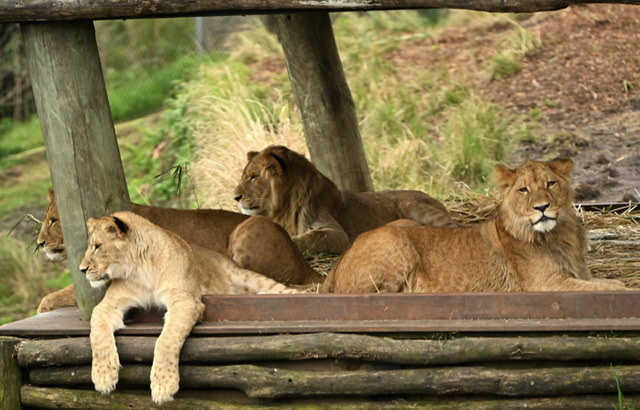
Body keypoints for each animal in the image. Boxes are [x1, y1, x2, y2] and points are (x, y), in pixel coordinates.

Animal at [37, 190, 322, 313]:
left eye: (53, 220)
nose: (39, 243)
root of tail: (306, 264)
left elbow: (60, 294)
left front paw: (42, 308)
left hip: (249, 227)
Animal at [83, 211, 297, 404]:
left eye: (97, 247)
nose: (81, 269)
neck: (140, 270)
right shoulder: (108, 305)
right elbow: (97, 332)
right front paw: (103, 376)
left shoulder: (185, 300)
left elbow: (166, 339)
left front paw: (163, 385)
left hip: (248, 277)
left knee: (285, 289)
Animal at [233, 145, 456, 254]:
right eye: (245, 175)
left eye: (253, 177)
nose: (235, 197)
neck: (285, 206)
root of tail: (431, 196)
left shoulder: (338, 235)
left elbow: (312, 237)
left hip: (413, 205)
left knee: (454, 228)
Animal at [322, 158, 628, 293]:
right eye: (524, 190)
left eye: (550, 183)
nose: (541, 207)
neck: (560, 235)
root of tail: (335, 266)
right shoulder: (546, 285)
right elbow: (614, 289)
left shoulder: (578, 275)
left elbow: (612, 282)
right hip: (395, 240)